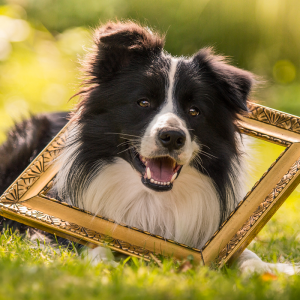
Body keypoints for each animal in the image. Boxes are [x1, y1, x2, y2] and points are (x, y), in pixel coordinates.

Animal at [0, 20, 296, 274]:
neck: (152, 199)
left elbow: (243, 253)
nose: (173, 137)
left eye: (194, 111)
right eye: (143, 102)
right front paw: (103, 263)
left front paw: (262, 269)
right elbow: (90, 239)